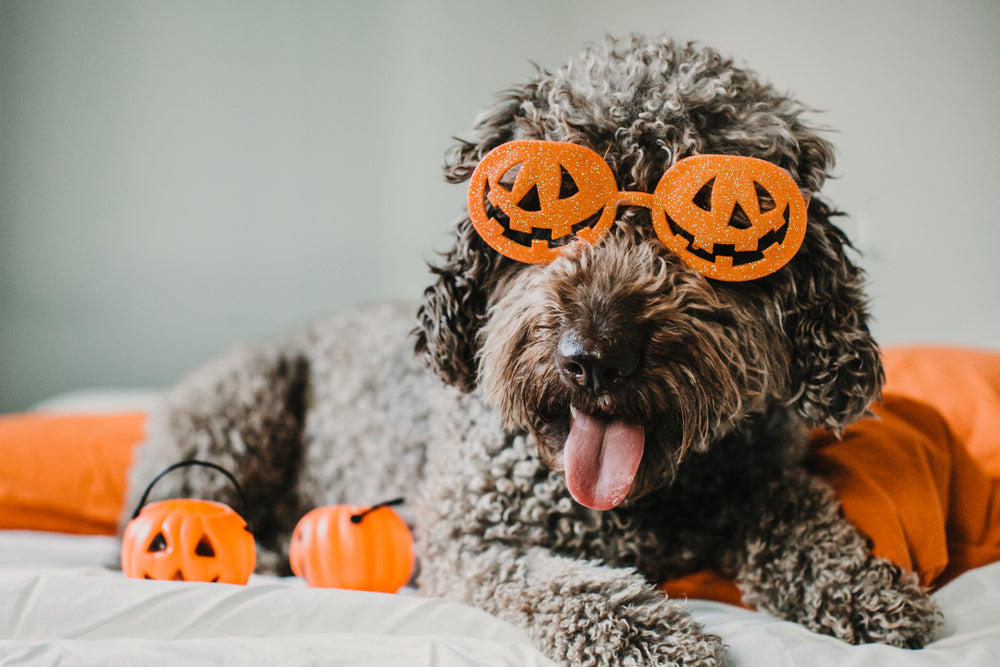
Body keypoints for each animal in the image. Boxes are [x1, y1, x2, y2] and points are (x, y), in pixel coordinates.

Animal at [123, 37, 936, 667]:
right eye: (541, 213)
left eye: (712, 226)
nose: (594, 357)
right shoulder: (472, 536)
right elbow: (573, 584)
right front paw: (652, 637)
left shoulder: (766, 476)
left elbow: (803, 523)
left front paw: (864, 588)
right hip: (238, 400)